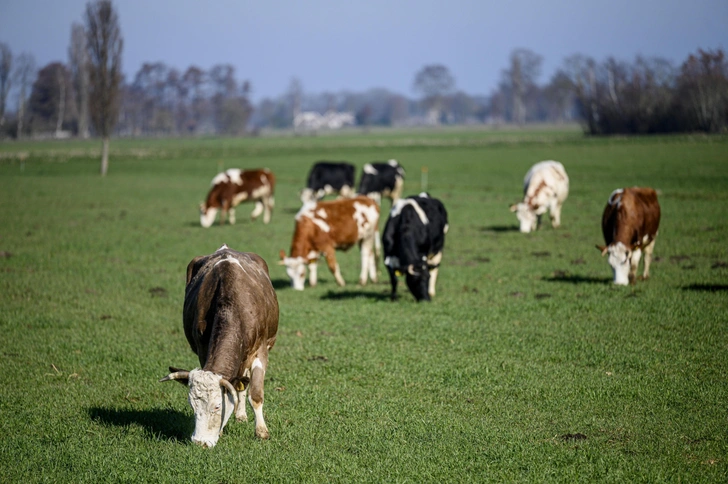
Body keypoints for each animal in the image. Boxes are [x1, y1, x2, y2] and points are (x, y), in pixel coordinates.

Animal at [159, 246, 278, 446]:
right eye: (192, 406)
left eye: (217, 406)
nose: (199, 442)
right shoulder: (202, 348)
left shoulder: (260, 351)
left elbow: (255, 394)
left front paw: (261, 432)